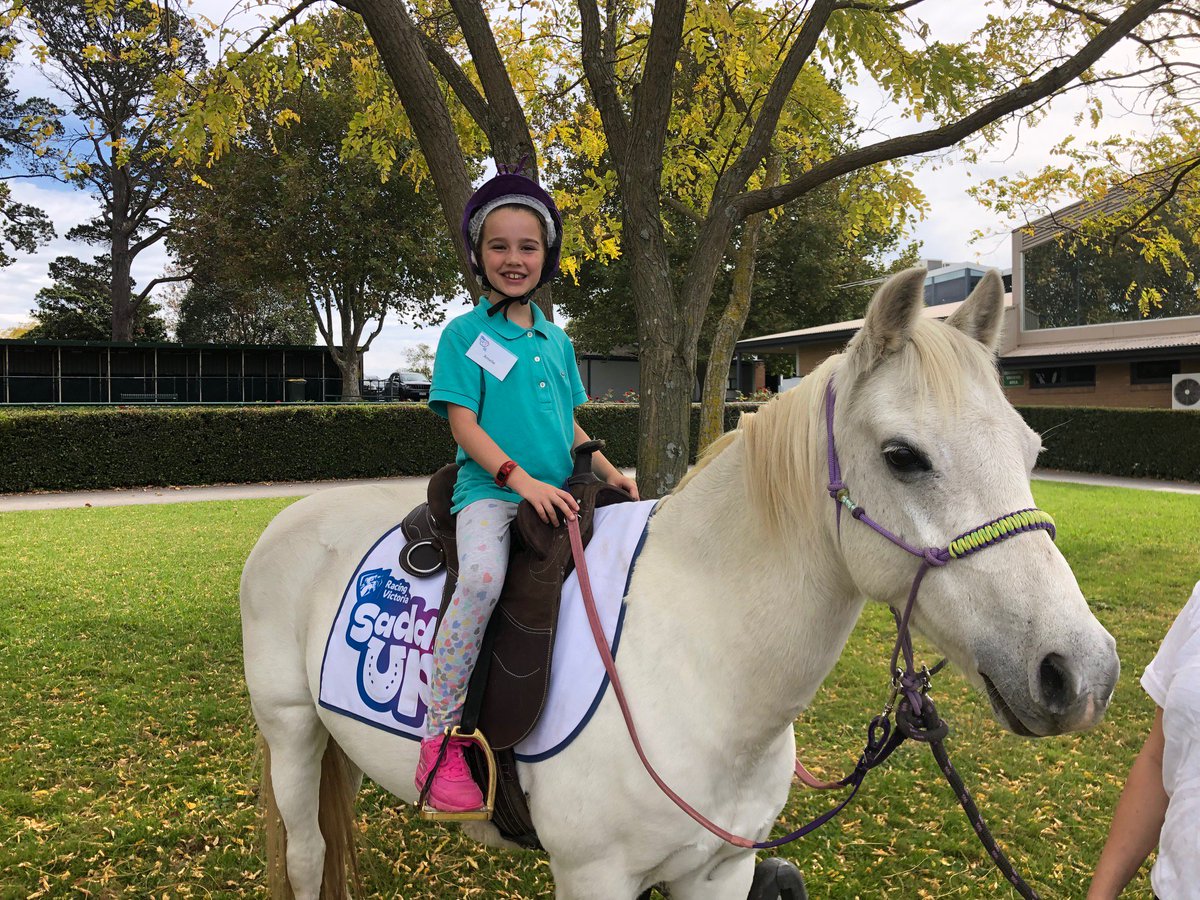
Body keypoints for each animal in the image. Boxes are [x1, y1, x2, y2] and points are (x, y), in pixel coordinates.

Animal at [241, 270, 1113, 900]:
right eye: (903, 456)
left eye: (1031, 450)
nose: (1083, 671)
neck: (701, 661)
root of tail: (291, 519)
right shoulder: (594, 879)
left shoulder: (718, 872)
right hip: (291, 731)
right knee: (309, 856)